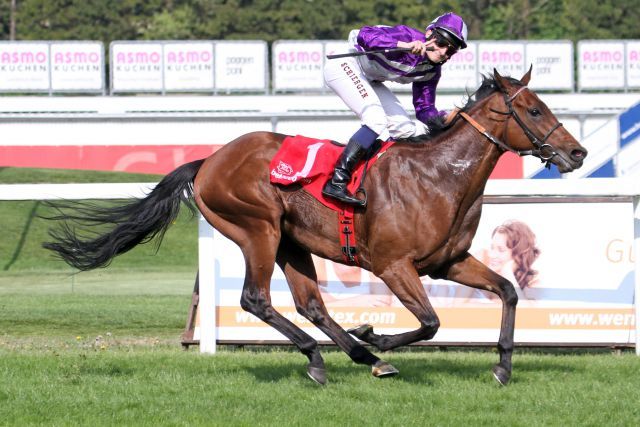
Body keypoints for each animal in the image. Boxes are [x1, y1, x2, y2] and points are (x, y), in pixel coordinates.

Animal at [42, 68, 588, 386]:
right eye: (534, 108)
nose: (578, 152)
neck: (438, 177)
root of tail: (208, 161)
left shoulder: (448, 261)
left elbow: (509, 291)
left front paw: (502, 366)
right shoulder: (394, 265)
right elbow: (431, 322)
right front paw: (376, 335)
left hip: (291, 241)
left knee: (310, 304)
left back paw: (355, 356)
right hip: (256, 229)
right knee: (256, 299)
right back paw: (332, 357)